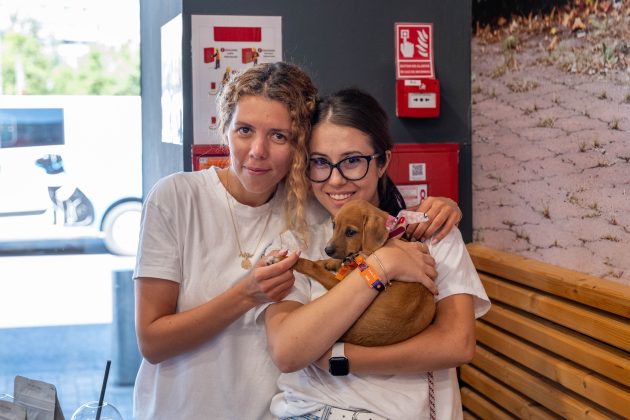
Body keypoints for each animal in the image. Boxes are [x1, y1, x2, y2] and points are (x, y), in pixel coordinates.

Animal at [293, 199, 436, 347]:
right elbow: (341, 260)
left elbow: (316, 268)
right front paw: (327, 262)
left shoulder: (338, 283)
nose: (327, 250)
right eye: (334, 225)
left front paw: (300, 262)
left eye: (350, 232)